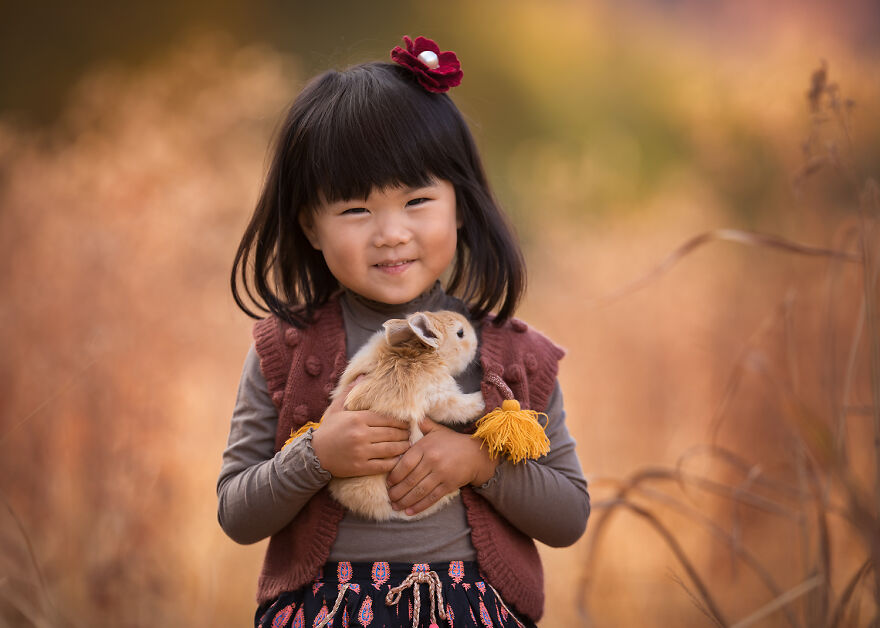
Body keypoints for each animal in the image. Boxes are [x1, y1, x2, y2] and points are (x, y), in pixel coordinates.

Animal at [328, 310, 484, 520]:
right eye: (460, 333)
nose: (476, 342)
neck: (420, 352)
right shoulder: (439, 395)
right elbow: (462, 406)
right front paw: (483, 399)